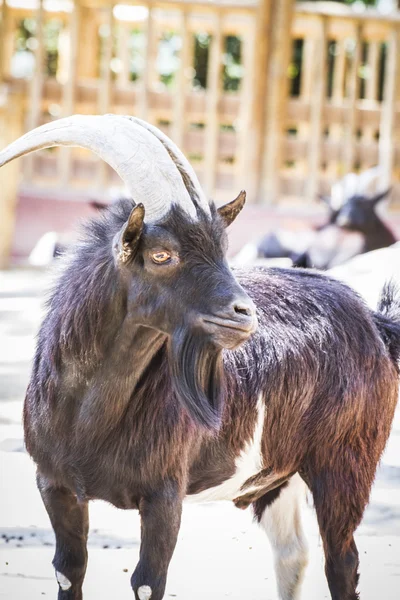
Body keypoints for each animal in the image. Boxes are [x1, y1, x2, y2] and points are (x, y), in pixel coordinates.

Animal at [0, 113, 400, 600]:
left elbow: (147, 582)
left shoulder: (164, 494)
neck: (87, 416)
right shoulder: (55, 484)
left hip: (346, 461)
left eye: (223, 249)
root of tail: (374, 322)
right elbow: (68, 569)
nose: (245, 313)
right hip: (277, 474)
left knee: (342, 562)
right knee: (292, 554)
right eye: (161, 255)